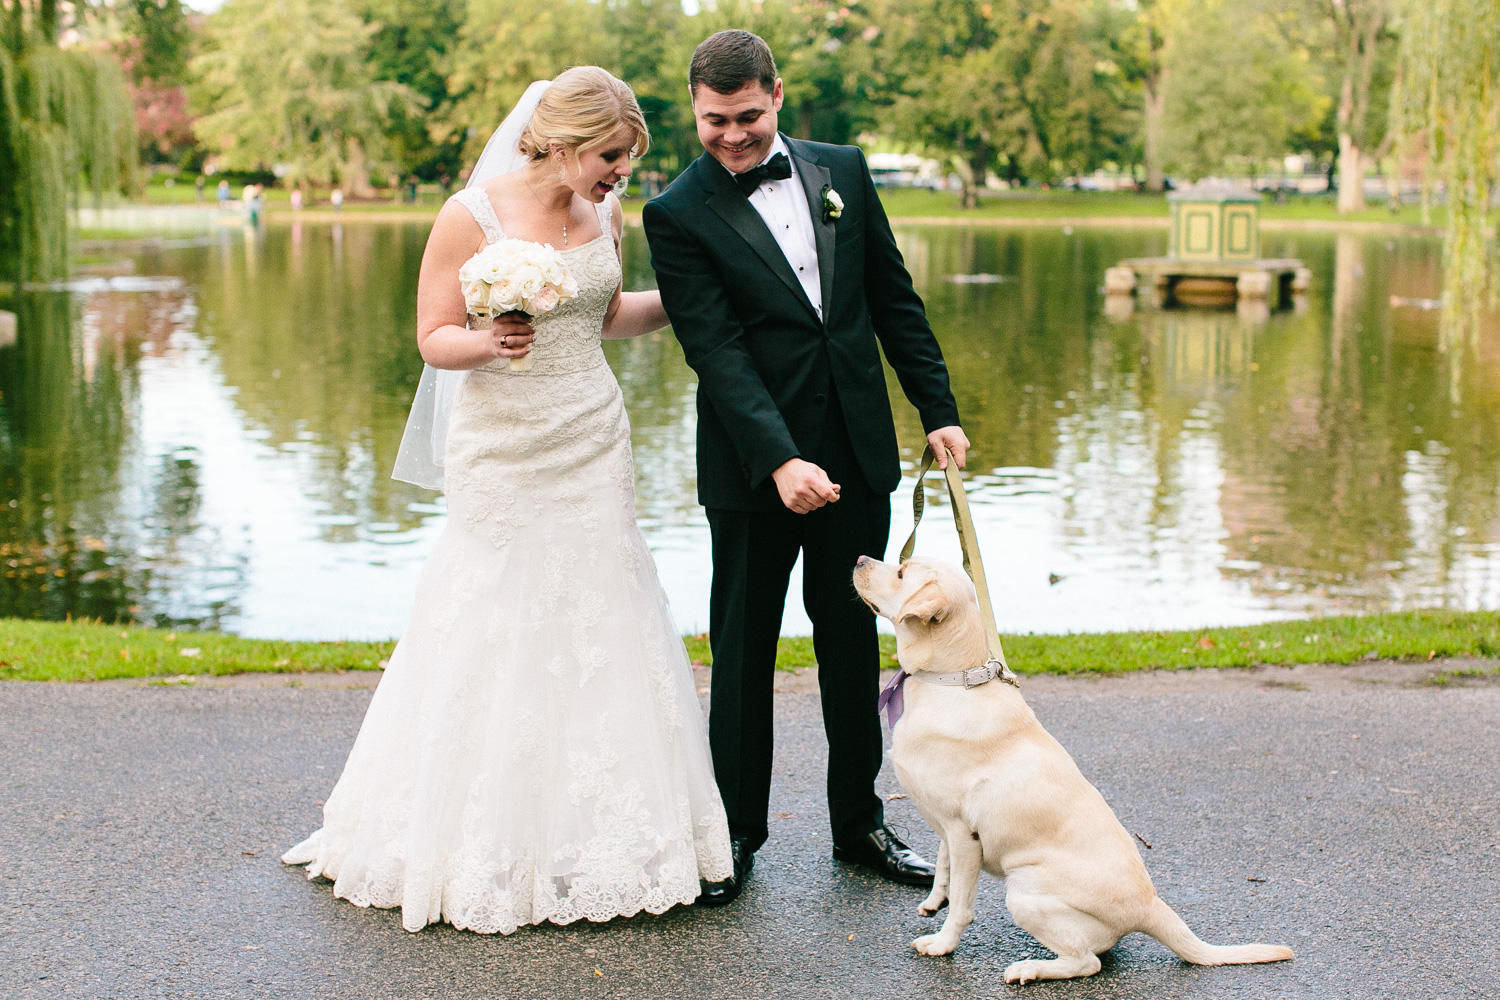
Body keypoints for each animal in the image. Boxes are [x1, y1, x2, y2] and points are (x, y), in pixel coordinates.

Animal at [852, 554, 1296, 983]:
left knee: (1087, 963)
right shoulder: (947, 827)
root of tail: (1150, 908)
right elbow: (944, 871)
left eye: (902, 571)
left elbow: (962, 903)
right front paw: (933, 902)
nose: (858, 559)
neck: (951, 679)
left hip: (1023, 889)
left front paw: (943, 943)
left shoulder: (964, 834)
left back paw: (1030, 969)